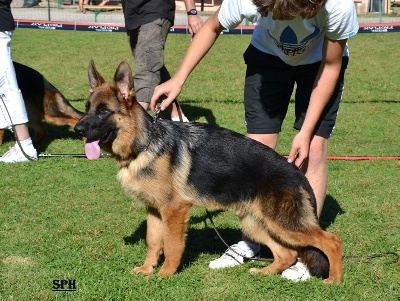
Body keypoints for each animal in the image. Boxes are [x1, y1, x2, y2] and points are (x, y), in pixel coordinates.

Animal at [73, 60, 342, 282]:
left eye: (104, 110)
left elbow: (171, 245)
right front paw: (147, 270)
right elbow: (153, 242)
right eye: (87, 107)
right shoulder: (154, 210)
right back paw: (265, 272)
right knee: (286, 253)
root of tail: (296, 172)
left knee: (331, 241)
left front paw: (166, 274)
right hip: (255, 223)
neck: (145, 144)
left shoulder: (174, 210)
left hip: (284, 224)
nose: (77, 129)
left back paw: (334, 280)